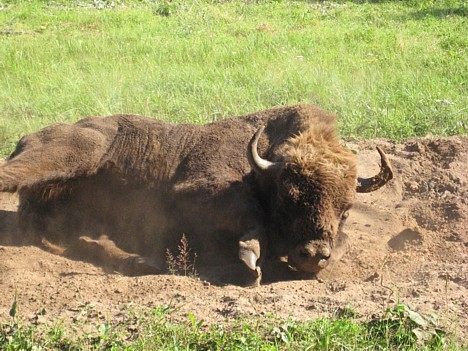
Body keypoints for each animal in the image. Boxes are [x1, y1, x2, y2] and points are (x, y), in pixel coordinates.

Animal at [0, 104, 392, 286]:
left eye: (346, 209)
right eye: (288, 196)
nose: (312, 254)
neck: (265, 156)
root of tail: (30, 136)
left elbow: (345, 242)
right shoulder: (198, 190)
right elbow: (253, 218)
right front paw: (251, 256)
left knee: (81, 240)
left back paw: (142, 262)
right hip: (73, 153)